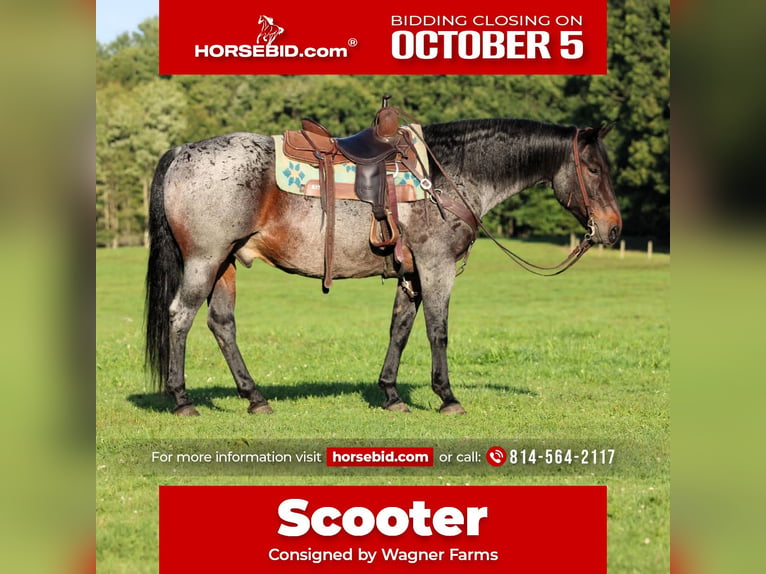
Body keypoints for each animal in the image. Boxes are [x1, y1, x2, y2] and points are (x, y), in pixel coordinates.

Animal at [145, 117, 622, 416]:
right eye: (593, 169)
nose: (613, 229)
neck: (444, 178)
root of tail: (182, 151)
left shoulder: (411, 274)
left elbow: (400, 329)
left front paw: (391, 394)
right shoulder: (436, 267)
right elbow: (437, 331)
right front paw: (447, 396)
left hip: (225, 262)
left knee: (222, 325)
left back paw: (254, 397)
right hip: (205, 260)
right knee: (180, 317)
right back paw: (182, 399)